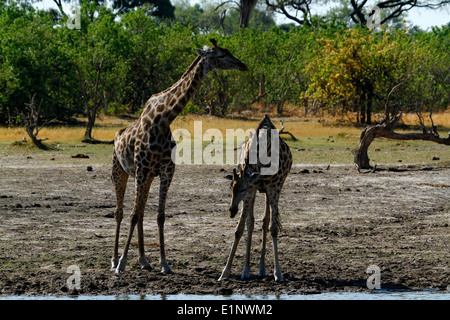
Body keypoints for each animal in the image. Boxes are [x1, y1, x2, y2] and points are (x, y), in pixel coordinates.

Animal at [111, 39, 248, 276]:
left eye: (228, 51)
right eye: (220, 55)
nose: (242, 65)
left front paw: (164, 264)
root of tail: (116, 137)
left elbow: (159, 215)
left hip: (146, 177)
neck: (163, 119)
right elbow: (133, 215)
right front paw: (122, 263)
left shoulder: (166, 171)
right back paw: (114, 260)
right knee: (120, 212)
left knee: (141, 210)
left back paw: (144, 260)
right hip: (120, 172)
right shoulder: (142, 170)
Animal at [219, 115, 292, 282]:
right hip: (259, 191)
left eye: (242, 189)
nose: (231, 211)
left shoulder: (272, 188)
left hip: (272, 190)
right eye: (230, 188)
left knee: (266, 222)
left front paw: (278, 273)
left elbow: (273, 229)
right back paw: (248, 270)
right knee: (252, 223)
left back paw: (262, 269)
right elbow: (240, 228)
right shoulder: (252, 188)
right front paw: (225, 272)